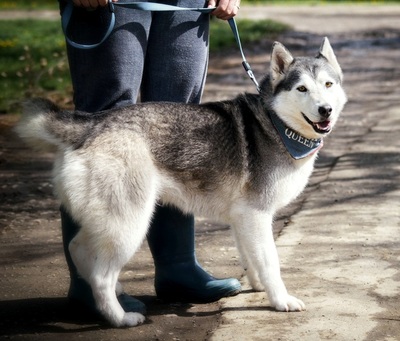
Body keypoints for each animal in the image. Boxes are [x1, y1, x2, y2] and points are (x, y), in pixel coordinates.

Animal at [16, 37, 346, 326]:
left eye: (328, 85)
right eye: (302, 88)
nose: (325, 110)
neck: (277, 124)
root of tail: (92, 124)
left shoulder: (243, 219)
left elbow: (251, 258)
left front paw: (258, 285)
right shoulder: (256, 215)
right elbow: (270, 263)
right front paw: (280, 300)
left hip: (107, 220)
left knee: (77, 249)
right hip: (128, 225)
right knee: (101, 276)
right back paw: (119, 317)